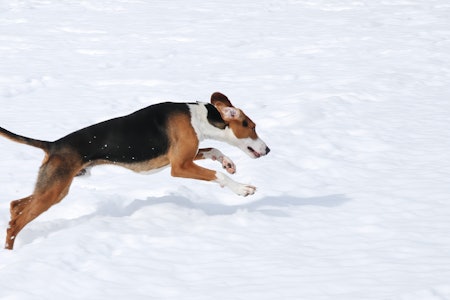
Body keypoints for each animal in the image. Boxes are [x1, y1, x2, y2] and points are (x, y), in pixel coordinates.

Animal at [0, 92, 268, 250]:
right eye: (252, 127)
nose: (268, 150)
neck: (200, 117)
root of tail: (53, 144)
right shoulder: (180, 166)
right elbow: (218, 175)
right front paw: (242, 189)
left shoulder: (185, 157)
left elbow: (214, 150)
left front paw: (228, 162)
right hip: (53, 190)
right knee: (15, 224)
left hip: (56, 188)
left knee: (16, 205)